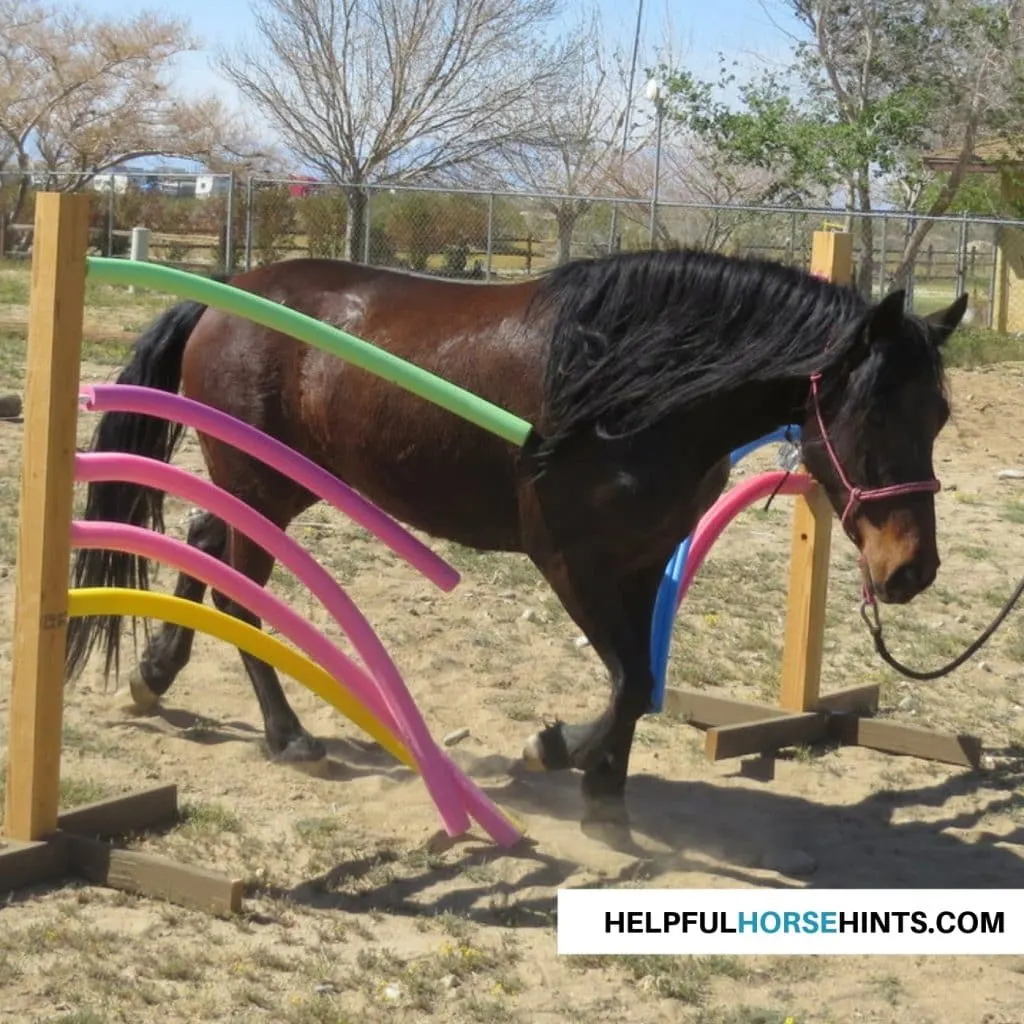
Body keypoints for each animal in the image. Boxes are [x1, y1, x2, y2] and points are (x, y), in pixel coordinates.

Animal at [66, 245, 966, 815]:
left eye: (940, 415)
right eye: (874, 411)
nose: (912, 569)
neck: (641, 389)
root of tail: (224, 297)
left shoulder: (645, 562)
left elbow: (642, 683)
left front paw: (605, 794)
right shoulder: (568, 558)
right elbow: (629, 681)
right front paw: (557, 752)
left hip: (276, 488)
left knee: (205, 549)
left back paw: (155, 676)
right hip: (263, 481)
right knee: (240, 591)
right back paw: (288, 738)